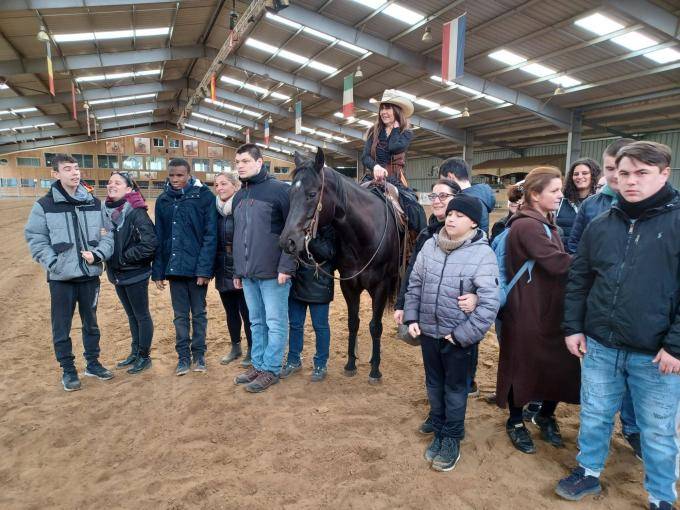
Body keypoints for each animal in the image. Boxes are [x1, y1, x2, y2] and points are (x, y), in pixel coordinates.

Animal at [278, 147, 402, 382]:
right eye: (289, 195)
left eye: (312, 194)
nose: (287, 242)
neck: (365, 235)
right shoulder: (349, 285)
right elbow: (353, 323)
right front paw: (351, 363)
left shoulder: (380, 286)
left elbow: (375, 326)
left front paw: (375, 369)